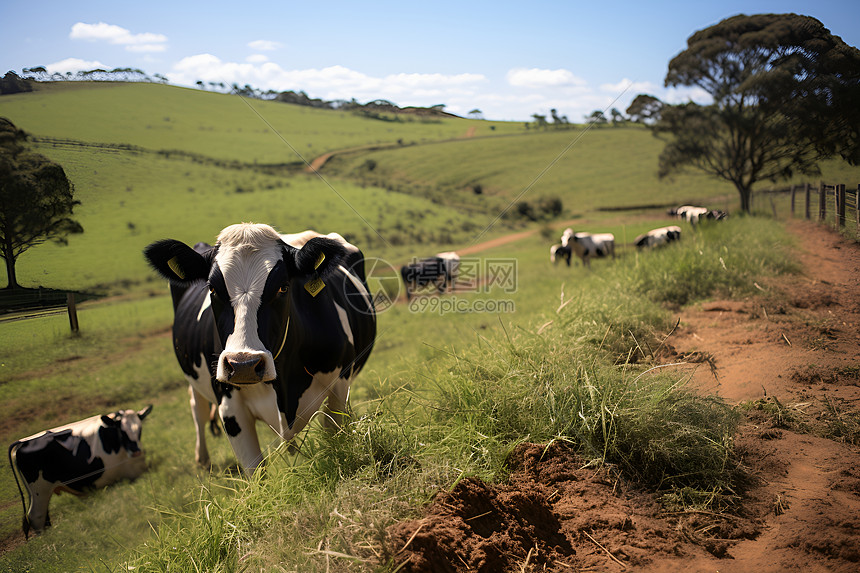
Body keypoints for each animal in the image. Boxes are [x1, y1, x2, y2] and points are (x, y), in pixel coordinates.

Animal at [8, 404, 153, 536]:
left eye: (139, 429)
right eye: (122, 431)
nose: (136, 451)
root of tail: (23, 442)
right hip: (40, 492)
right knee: (37, 516)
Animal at [143, 221, 374, 472]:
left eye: (283, 287)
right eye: (212, 289)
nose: (243, 365)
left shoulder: (339, 387)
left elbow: (334, 440)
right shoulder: (230, 408)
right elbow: (254, 471)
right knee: (198, 409)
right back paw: (202, 459)